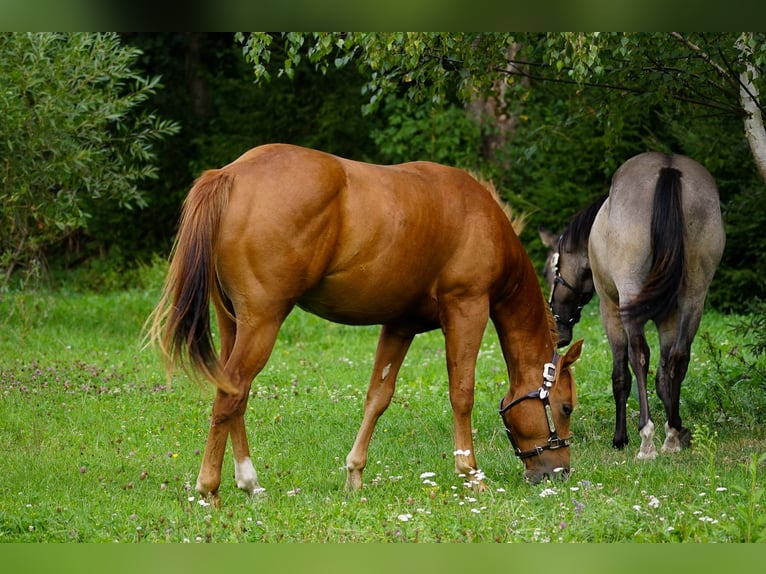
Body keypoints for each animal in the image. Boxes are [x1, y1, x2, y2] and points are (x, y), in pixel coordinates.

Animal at [147, 143, 583, 503]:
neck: (478, 219)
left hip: (234, 323)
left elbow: (378, 396)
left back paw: (249, 482)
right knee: (232, 393)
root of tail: (231, 173)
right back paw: (209, 487)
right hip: (262, 323)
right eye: (565, 407)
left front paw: (354, 473)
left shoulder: (400, 325)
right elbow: (462, 393)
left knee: (234, 392)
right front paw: (470, 472)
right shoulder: (467, 308)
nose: (559, 473)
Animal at [539, 151, 725, 460]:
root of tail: (668, 167)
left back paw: (646, 440)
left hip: (628, 298)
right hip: (694, 298)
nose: (558, 331)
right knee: (679, 358)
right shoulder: (669, 317)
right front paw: (676, 431)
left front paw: (621, 437)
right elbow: (663, 376)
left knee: (639, 357)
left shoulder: (610, 310)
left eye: (549, 272)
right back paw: (669, 435)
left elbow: (621, 376)